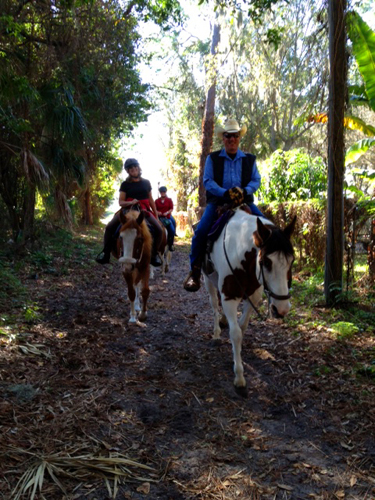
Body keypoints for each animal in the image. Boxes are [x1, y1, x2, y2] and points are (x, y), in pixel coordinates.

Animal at [204, 207, 296, 394]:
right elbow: (235, 333)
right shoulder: (229, 297)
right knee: (214, 305)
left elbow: (242, 325)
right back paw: (216, 333)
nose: (281, 309)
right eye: (266, 262)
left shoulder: (253, 296)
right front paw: (239, 376)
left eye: (292, 260)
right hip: (208, 279)